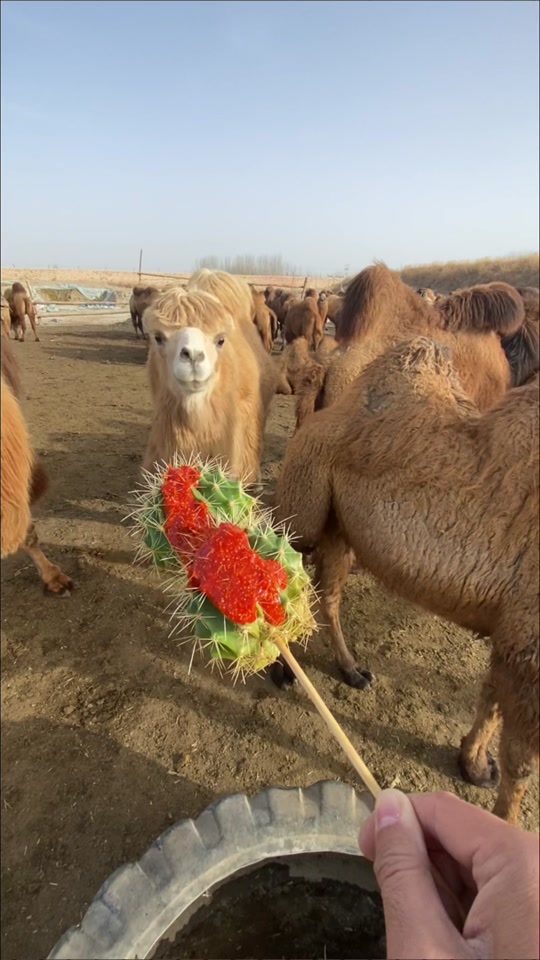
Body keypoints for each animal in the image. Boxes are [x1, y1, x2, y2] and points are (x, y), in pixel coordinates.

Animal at [276, 334, 536, 820]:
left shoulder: (511, 632)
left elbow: (492, 697)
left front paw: (474, 763)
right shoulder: (529, 643)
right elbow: (521, 764)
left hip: (341, 526)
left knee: (327, 591)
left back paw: (353, 670)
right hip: (304, 502)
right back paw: (282, 669)